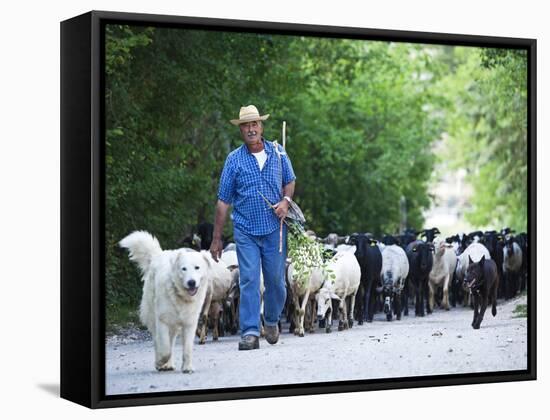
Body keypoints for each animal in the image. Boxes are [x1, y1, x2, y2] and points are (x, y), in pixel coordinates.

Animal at [120, 231, 211, 372]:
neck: (180, 295)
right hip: (153, 315)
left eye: (197, 267)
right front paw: (160, 362)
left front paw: (187, 367)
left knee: (171, 340)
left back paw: (169, 364)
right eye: (184, 269)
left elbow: (187, 349)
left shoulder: (190, 323)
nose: (191, 282)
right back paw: (164, 364)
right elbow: (164, 347)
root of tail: (158, 255)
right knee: (159, 341)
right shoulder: (162, 320)